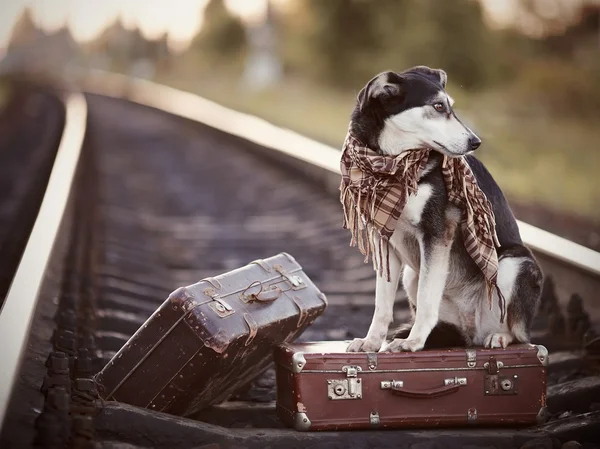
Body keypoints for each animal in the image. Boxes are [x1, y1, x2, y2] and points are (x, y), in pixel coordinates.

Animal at [342, 66, 544, 354]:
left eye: (450, 107)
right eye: (438, 106)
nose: (475, 141)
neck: (393, 164)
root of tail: (470, 332)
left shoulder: (437, 234)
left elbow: (427, 299)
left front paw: (414, 342)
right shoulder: (385, 239)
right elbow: (382, 304)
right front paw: (372, 341)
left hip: (514, 264)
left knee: (520, 333)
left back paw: (499, 337)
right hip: (411, 274)